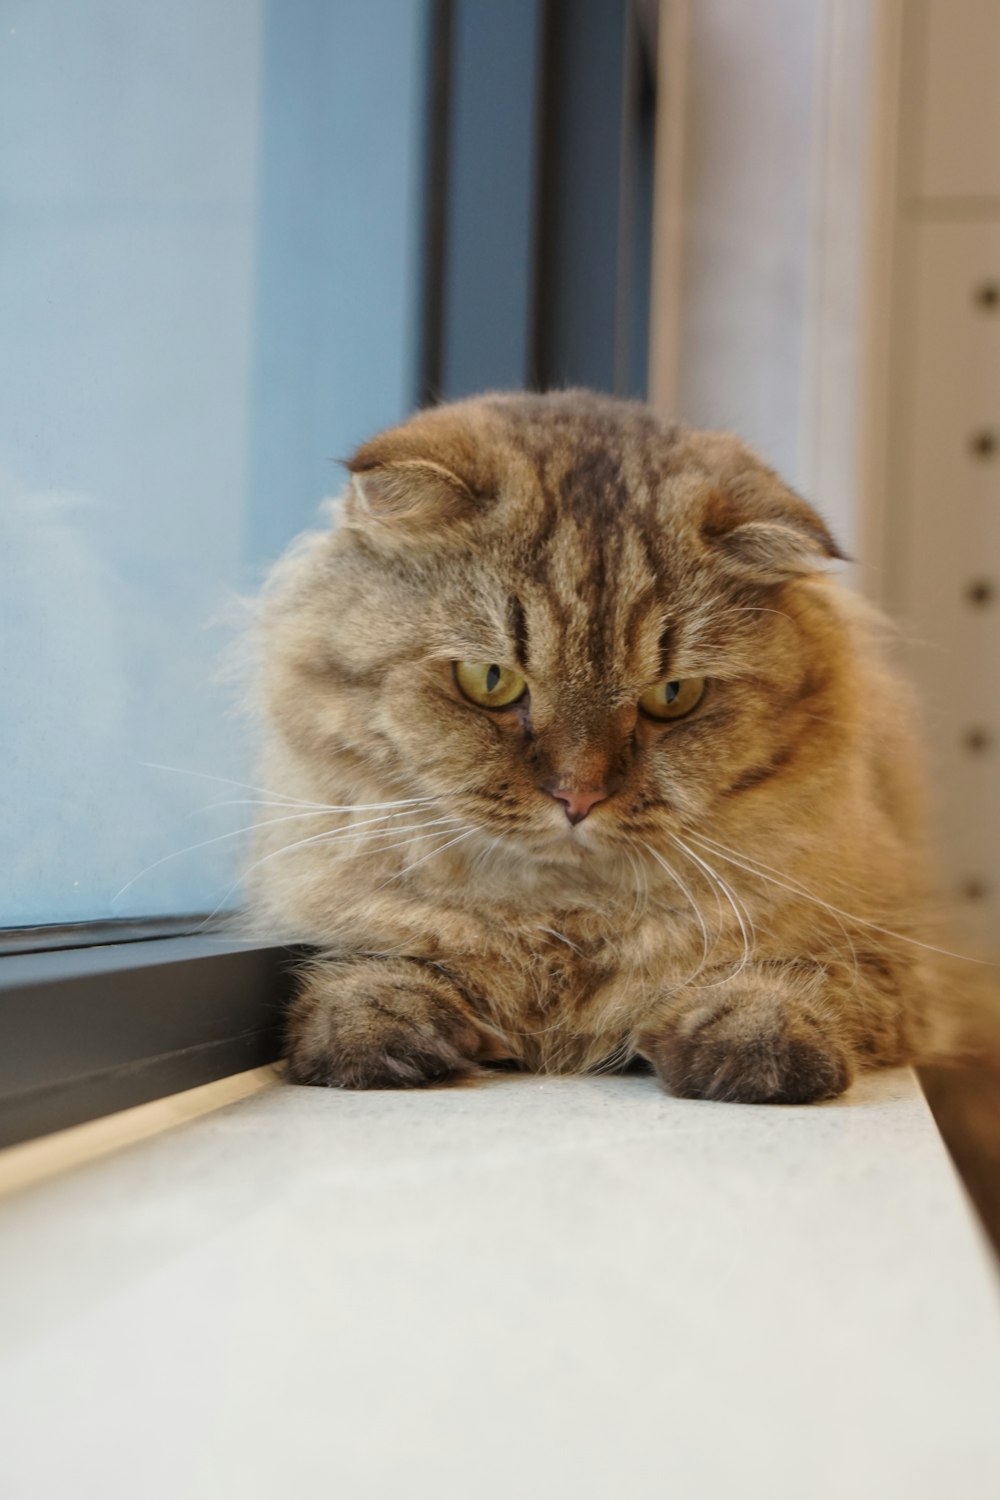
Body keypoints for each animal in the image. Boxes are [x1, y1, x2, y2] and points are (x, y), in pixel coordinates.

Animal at [245, 393, 953, 1110]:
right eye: (490, 680)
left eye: (673, 695)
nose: (577, 796)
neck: (567, 923)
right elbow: (384, 964)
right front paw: (378, 1032)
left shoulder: (887, 958)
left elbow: (789, 974)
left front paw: (752, 1039)